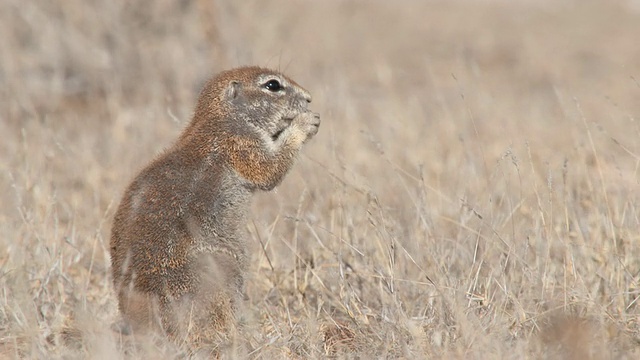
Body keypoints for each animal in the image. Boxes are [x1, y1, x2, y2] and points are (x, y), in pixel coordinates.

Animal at [111, 66, 320, 348]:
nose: (309, 98)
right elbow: (268, 168)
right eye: (273, 85)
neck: (220, 118)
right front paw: (306, 122)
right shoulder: (241, 143)